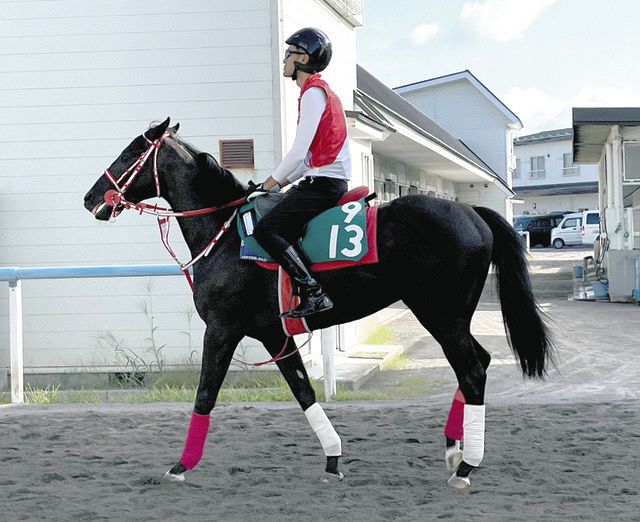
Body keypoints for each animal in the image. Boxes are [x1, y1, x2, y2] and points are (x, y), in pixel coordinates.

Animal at [83, 118, 555, 489]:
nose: (91, 198)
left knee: (472, 371)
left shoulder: (221, 329)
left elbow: (205, 394)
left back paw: (466, 465)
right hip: (451, 315)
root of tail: (474, 213)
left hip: (440, 314)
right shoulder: (273, 334)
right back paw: (454, 449)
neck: (228, 235)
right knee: (479, 363)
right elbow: (303, 391)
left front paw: (181, 466)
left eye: (131, 152)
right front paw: (332, 459)